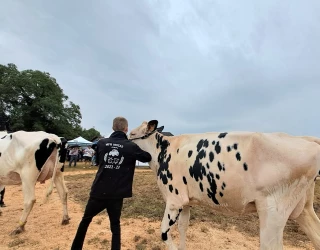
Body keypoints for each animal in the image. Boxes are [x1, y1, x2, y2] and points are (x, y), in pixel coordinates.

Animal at [129, 120, 320, 250]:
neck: (163, 151)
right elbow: (183, 228)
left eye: (131, 134)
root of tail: (304, 138)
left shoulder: (174, 200)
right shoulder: (186, 202)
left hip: (273, 210)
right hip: (302, 208)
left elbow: (164, 233)